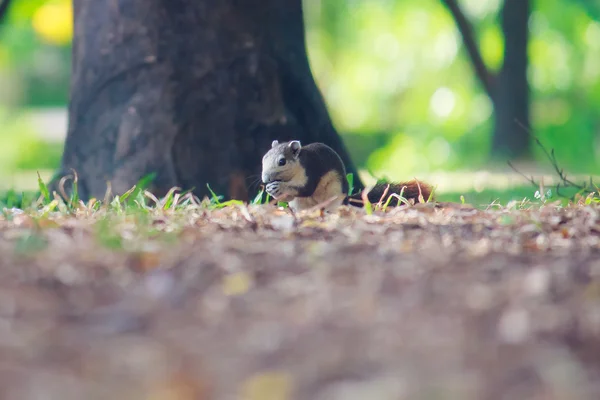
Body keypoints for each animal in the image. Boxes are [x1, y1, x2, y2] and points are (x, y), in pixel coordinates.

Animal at [260, 139, 434, 211]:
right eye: (264, 158)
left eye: (282, 161)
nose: (265, 180)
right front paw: (271, 190)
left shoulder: (311, 170)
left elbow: (305, 189)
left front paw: (279, 187)